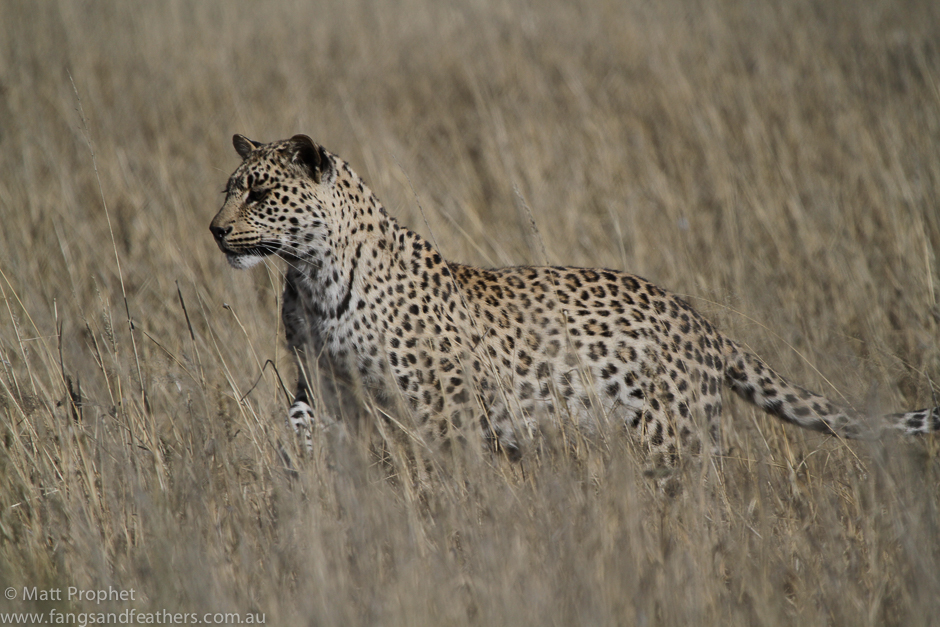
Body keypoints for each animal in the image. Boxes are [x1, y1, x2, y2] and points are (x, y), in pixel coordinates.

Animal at [209, 134, 939, 470]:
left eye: (260, 194)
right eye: (228, 188)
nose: (215, 229)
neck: (309, 274)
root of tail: (701, 322)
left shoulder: (442, 409)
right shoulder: (320, 381)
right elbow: (303, 423)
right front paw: (296, 475)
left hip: (672, 445)